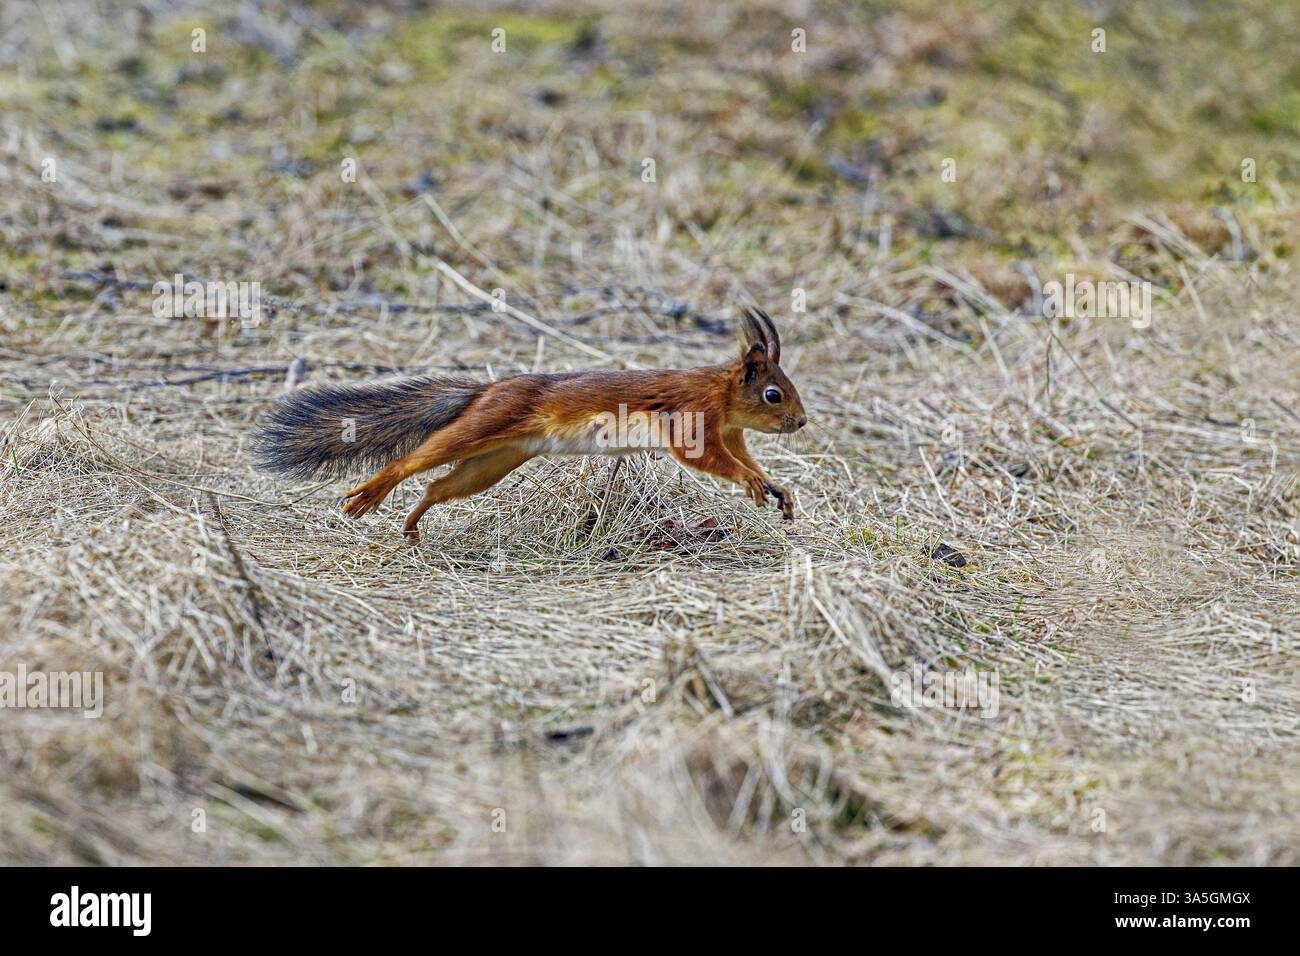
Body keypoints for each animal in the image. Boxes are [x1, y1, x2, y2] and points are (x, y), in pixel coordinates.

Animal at [253, 307, 806, 540]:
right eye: (773, 394)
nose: (800, 422)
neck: (722, 396)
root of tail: (486, 390)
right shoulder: (694, 419)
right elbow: (709, 460)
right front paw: (751, 481)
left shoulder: (732, 431)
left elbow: (744, 458)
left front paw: (775, 488)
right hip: (483, 428)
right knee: (413, 460)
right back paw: (369, 495)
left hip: (492, 462)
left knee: (437, 486)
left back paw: (411, 527)